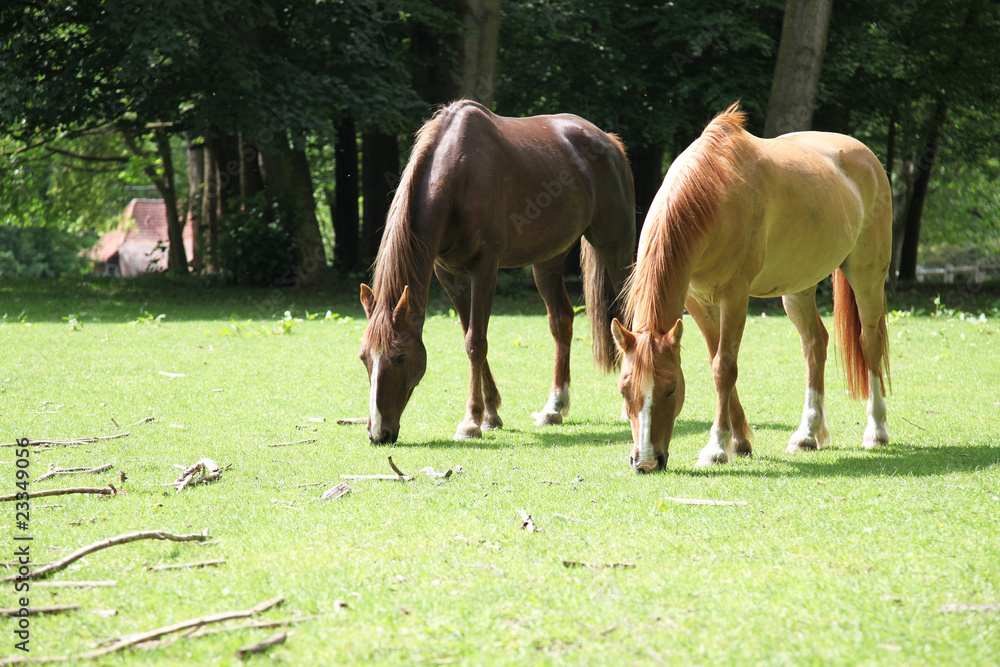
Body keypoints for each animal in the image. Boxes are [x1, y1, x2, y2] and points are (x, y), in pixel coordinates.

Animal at [359, 100, 635, 444]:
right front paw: (490, 414)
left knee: (625, 314)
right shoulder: (449, 274)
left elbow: (476, 342)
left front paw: (470, 422)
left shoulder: (485, 266)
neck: (458, 177)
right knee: (561, 321)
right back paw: (554, 408)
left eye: (400, 357)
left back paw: (626, 406)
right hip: (548, 258)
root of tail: (608, 141)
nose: (377, 433)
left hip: (615, 247)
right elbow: (470, 335)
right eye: (364, 357)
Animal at [612, 103, 892, 472]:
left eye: (670, 390)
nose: (644, 461)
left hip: (866, 275)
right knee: (815, 344)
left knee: (869, 343)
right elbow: (716, 360)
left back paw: (876, 431)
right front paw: (739, 441)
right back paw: (806, 434)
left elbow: (724, 368)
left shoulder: (735, 297)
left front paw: (716, 447)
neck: (713, 194)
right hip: (797, 287)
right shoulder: (698, 302)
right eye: (624, 390)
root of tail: (868, 157)